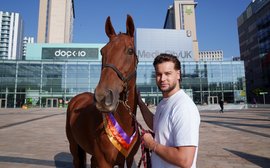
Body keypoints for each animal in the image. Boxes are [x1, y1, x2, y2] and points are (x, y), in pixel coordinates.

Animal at [66, 15, 140, 167]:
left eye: (130, 51)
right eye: (102, 51)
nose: (102, 97)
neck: (123, 122)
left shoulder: (128, 160)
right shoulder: (104, 162)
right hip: (74, 147)